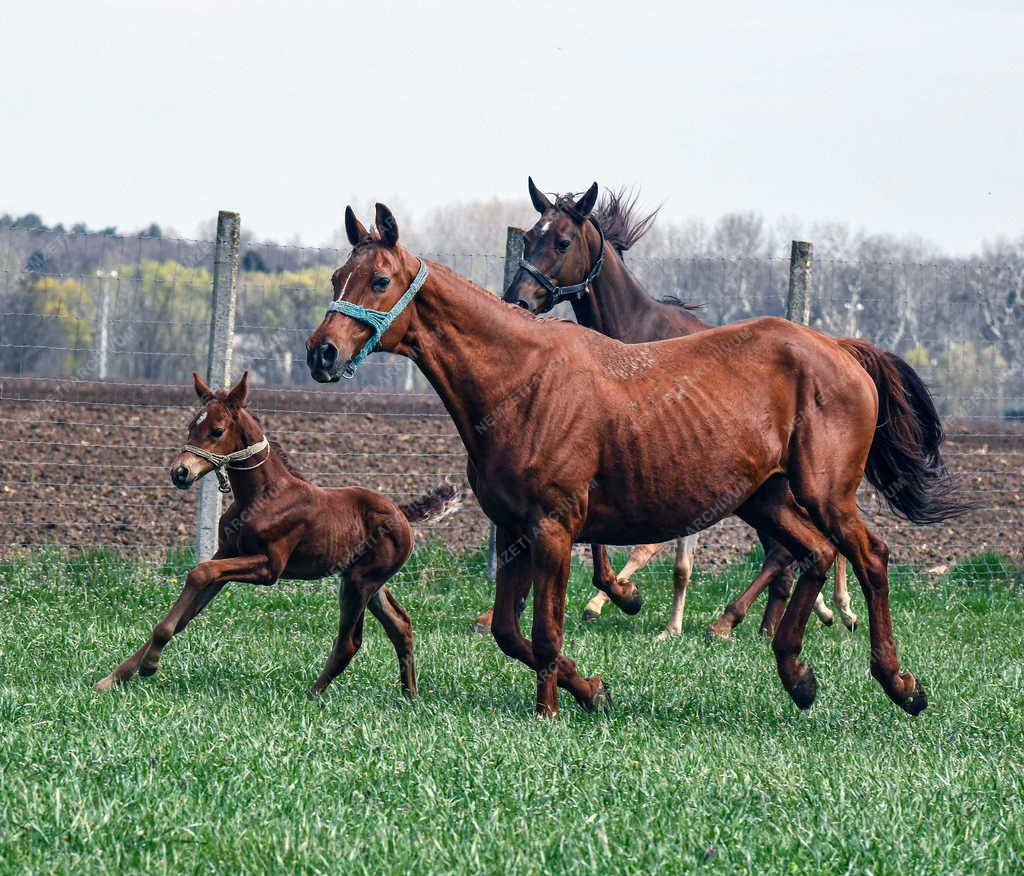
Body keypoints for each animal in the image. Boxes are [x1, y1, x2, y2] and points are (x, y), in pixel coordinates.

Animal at [96, 370, 460, 700]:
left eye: (216, 430)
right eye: (190, 427)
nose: (180, 473)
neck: (262, 496)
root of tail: (402, 512)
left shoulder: (269, 567)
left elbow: (200, 573)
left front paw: (149, 665)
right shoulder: (226, 555)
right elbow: (187, 610)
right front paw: (115, 677)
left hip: (360, 581)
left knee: (350, 641)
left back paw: (311, 695)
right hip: (366, 580)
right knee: (400, 625)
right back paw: (410, 696)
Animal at [307, 205, 962, 721]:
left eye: (380, 279)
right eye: (339, 275)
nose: (321, 353)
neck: (523, 378)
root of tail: (840, 349)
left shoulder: (553, 528)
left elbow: (545, 632)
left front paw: (551, 710)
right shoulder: (517, 531)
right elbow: (511, 634)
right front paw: (591, 688)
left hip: (825, 493)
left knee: (868, 556)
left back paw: (900, 684)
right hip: (767, 498)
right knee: (814, 554)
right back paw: (795, 674)